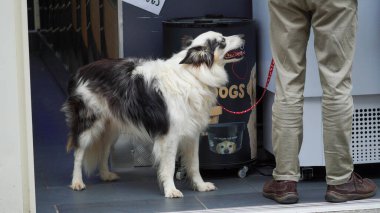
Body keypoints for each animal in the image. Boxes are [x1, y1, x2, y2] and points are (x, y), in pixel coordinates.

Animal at [61, 31, 246, 198]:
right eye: (222, 41)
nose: (243, 36)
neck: (194, 74)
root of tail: (80, 71)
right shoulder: (170, 136)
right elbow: (169, 166)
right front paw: (170, 190)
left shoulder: (192, 134)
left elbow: (194, 164)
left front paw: (200, 186)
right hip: (89, 123)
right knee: (78, 152)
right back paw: (77, 182)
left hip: (111, 128)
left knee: (104, 150)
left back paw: (106, 174)